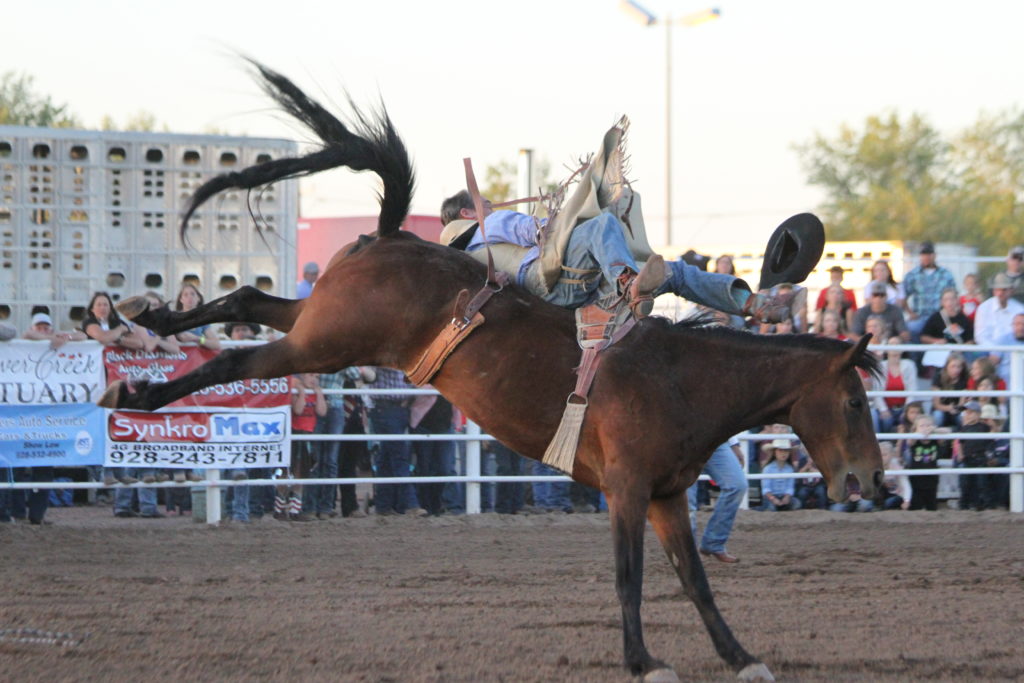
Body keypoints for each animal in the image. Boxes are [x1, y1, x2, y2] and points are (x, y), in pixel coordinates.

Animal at [99, 61, 884, 679]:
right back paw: (135, 388)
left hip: (321, 323)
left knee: (248, 300)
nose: (873, 480)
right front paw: (643, 662)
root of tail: (391, 234)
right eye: (854, 402)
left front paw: (740, 656)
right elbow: (629, 579)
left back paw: (156, 320)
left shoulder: (664, 496)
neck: (681, 378)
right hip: (326, 344)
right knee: (234, 354)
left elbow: (695, 582)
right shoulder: (628, 491)